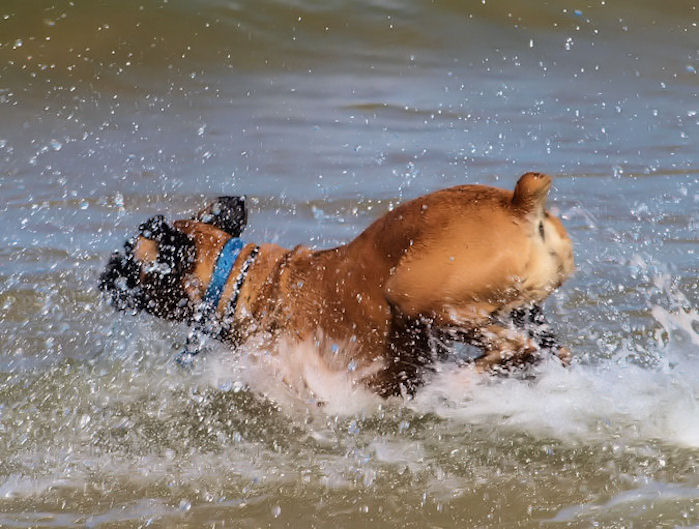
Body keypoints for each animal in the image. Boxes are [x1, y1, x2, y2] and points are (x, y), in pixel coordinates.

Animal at [101, 172, 576, 396]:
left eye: (125, 257)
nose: (103, 276)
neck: (242, 281)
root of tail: (516, 203)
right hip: (525, 313)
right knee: (545, 352)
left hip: (420, 300)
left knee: (513, 347)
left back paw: (452, 385)